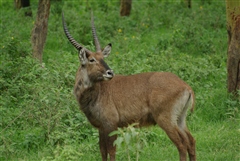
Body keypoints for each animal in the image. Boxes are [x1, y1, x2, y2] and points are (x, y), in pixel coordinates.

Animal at [62, 11, 197, 160]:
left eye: (102, 58)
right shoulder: (101, 127)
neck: (96, 92)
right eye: (92, 59)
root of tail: (186, 86)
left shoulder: (111, 125)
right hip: (180, 119)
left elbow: (111, 151)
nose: (110, 72)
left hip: (166, 120)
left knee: (182, 145)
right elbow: (102, 151)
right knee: (191, 141)